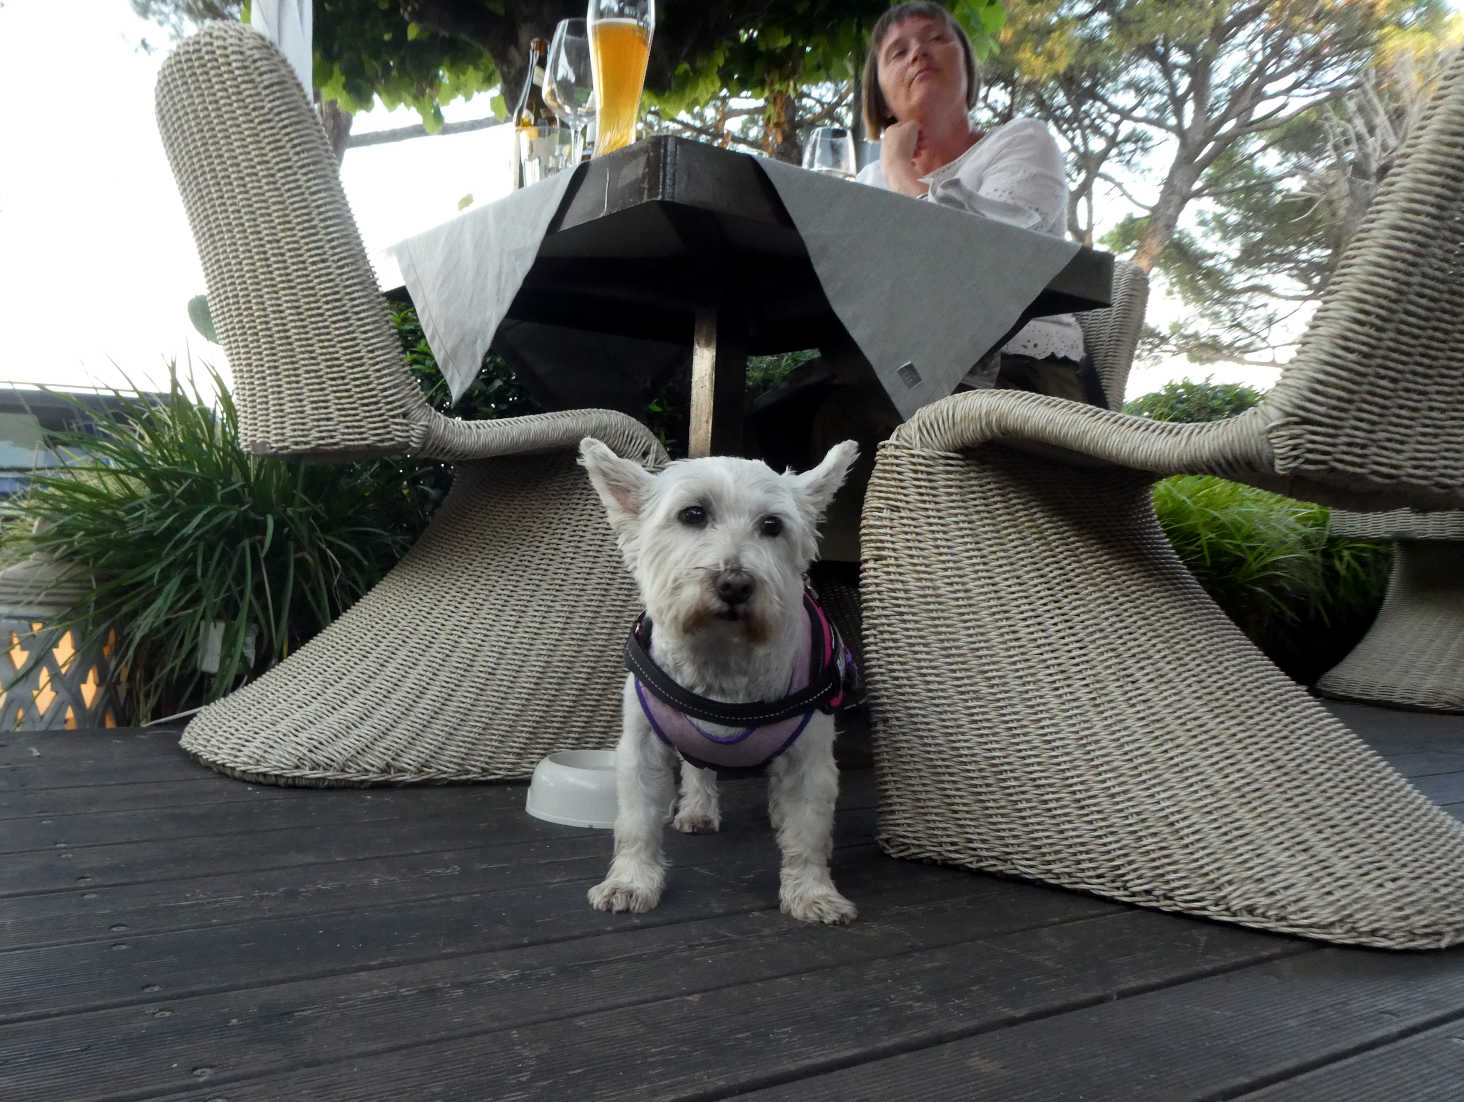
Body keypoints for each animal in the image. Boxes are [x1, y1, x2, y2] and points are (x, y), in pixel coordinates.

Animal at [576, 433, 860, 924]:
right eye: (693, 514)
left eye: (772, 525)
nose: (735, 584)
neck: (722, 656)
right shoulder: (642, 748)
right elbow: (636, 821)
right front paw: (630, 883)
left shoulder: (811, 758)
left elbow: (808, 830)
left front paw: (814, 893)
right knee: (698, 767)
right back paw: (698, 810)